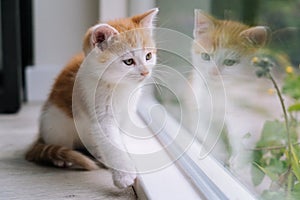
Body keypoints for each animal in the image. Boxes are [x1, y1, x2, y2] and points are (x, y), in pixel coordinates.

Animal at [25, 8, 159, 189]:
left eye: (148, 56)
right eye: (129, 61)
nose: (145, 72)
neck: (119, 86)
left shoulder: (127, 111)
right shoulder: (99, 111)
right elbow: (110, 142)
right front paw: (123, 175)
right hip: (55, 123)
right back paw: (60, 159)